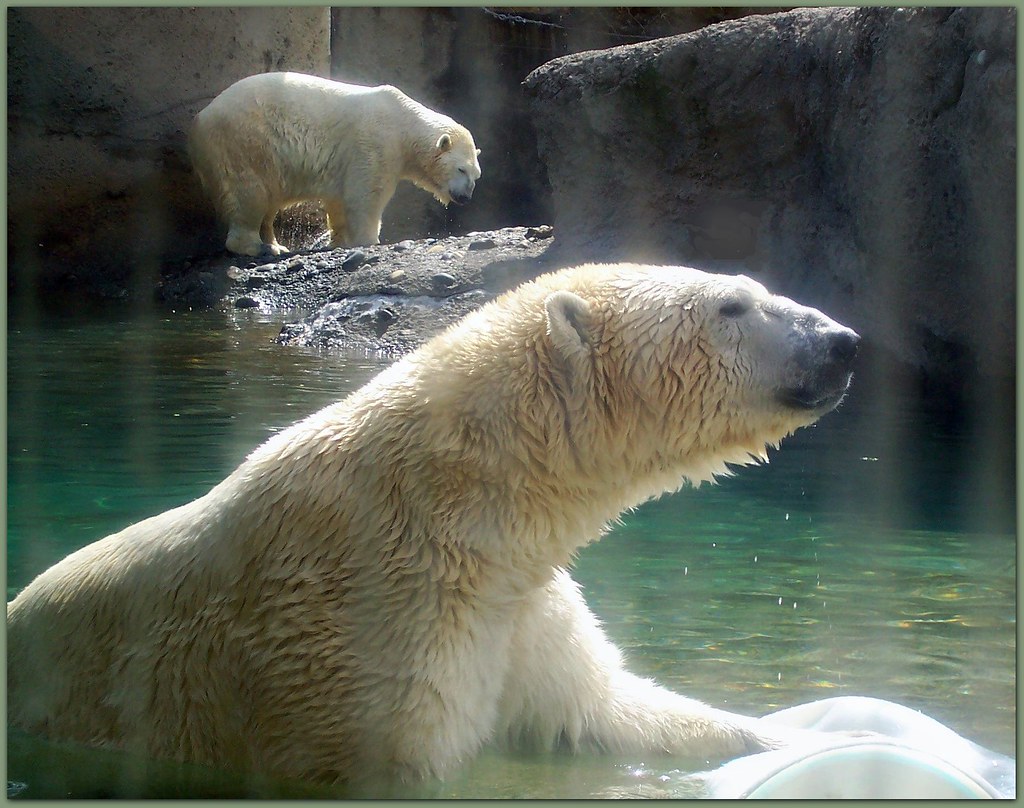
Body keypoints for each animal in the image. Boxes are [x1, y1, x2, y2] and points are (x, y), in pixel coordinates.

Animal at [7, 263, 859, 787]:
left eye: (750, 289)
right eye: (732, 305)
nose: (842, 342)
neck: (460, 505)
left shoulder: (519, 610)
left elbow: (607, 715)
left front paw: (828, 737)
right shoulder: (371, 639)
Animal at [188, 72, 482, 257]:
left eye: (476, 175)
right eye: (461, 169)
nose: (466, 197)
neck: (403, 121)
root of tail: (200, 119)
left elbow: (339, 200)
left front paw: (340, 240)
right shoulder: (375, 143)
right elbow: (365, 196)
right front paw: (369, 241)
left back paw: (275, 244)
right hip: (243, 142)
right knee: (249, 193)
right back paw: (256, 246)